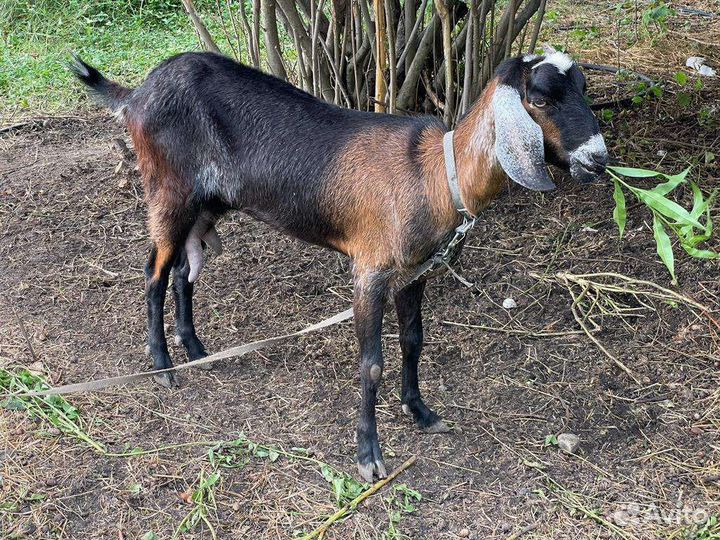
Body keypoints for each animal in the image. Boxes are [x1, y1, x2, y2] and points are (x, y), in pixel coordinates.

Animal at [71, 45, 608, 482]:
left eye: (584, 89)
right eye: (540, 99)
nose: (598, 158)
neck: (436, 174)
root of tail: (137, 93)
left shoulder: (414, 272)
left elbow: (413, 341)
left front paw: (421, 412)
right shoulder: (369, 271)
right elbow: (371, 364)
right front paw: (369, 457)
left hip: (207, 203)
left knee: (186, 271)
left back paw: (196, 348)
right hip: (169, 190)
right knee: (155, 273)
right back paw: (163, 366)